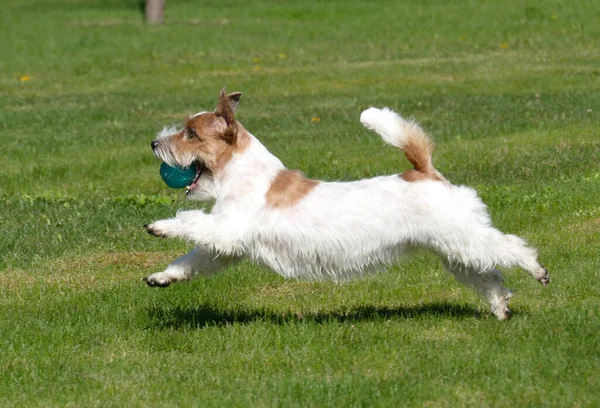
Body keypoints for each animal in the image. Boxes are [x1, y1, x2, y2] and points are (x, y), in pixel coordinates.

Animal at [144, 88, 548, 318]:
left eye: (191, 133)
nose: (153, 143)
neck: (247, 176)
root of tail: (426, 172)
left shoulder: (225, 228)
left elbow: (190, 219)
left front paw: (160, 226)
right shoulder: (225, 247)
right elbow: (191, 260)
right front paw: (161, 277)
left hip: (465, 238)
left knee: (512, 247)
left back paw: (537, 270)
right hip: (455, 251)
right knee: (489, 276)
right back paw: (500, 308)